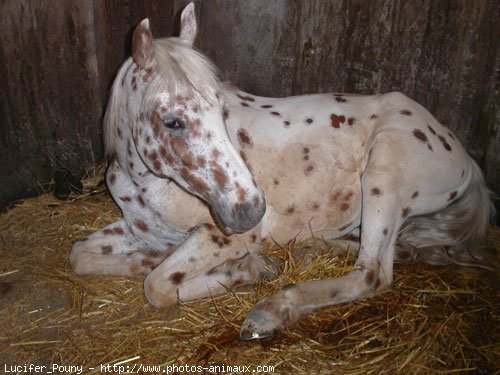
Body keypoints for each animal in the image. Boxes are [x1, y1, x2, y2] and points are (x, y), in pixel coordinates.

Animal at [68, 2, 494, 342]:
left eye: (221, 106)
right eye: (172, 121)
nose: (252, 210)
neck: (145, 185)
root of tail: (463, 155)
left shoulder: (224, 236)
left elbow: (157, 286)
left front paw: (245, 271)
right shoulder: (139, 228)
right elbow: (81, 256)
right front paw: (146, 260)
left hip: (385, 171)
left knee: (372, 272)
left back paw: (270, 311)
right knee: (391, 250)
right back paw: (311, 250)